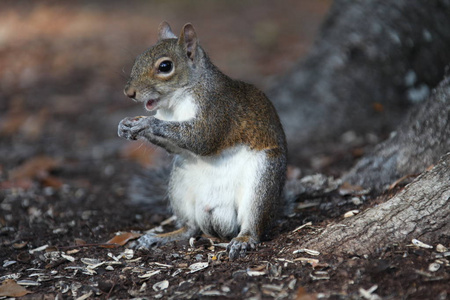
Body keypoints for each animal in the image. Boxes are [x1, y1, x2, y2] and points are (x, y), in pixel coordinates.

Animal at [118, 22, 286, 258]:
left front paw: (147, 123)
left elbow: (203, 138)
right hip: (180, 183)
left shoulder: (218, 110)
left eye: (165, 66)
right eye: (137, 59)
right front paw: (124, 124)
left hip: (262, 180)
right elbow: (175, 146)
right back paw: (159, 237)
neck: (177, 101)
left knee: (254, 225)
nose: (129, 93)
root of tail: (217, 218)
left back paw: (243, 240)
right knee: (190, 228)